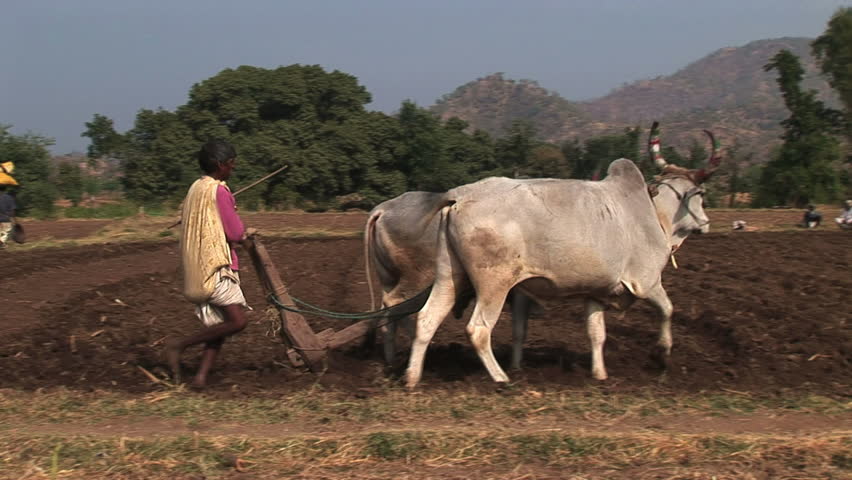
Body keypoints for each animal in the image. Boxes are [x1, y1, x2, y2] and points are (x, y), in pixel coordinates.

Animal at [364, 191, 533, 369]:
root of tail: (383, 209)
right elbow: (519, 330)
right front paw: (516, 366)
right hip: (417, 278)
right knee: (395, 305)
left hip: (387, 278)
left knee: (387, 315)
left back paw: (392, 361)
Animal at [405, 123, 721, 388]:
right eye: (702, 194)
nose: (706, 224)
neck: (654, 214)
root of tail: (459, 196)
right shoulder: (646, 281)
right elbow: (667, 310)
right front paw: (661, 355)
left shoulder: (596, 292)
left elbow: (596, 333)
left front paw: (599, 374)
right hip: (494, 285)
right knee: (478, 329)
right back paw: (501, 378)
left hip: (449, 275)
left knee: (426, 319)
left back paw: (412, 378)